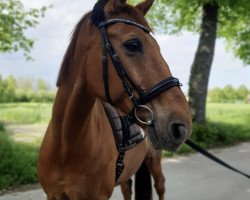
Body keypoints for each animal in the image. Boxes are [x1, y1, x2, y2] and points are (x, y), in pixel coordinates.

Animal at [37, 0, 191, 199]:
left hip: (154, 161)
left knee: (160, 186)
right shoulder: (53, 195)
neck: (66, 146)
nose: (182, 126)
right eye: (133, 44)